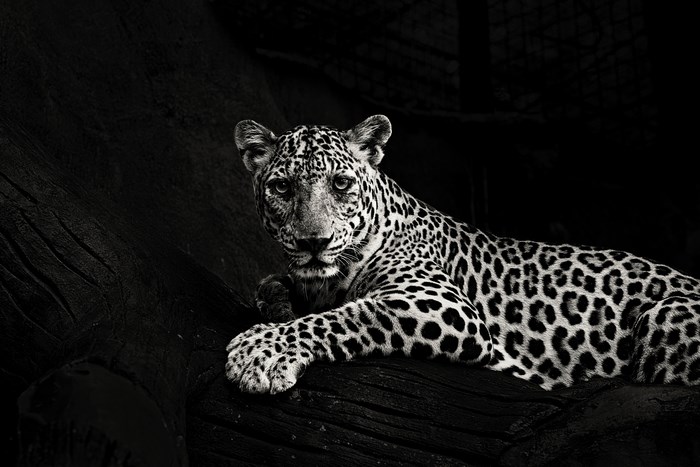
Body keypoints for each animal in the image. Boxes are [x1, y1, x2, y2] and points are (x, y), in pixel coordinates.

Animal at [225, 114, 700, 394]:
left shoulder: (439, 303)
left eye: (340, 184)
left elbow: (349, 316)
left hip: (663, 317)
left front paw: (259, 352)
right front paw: (278, 308)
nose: (314, 242)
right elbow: (272, 287)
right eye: (282, 187)